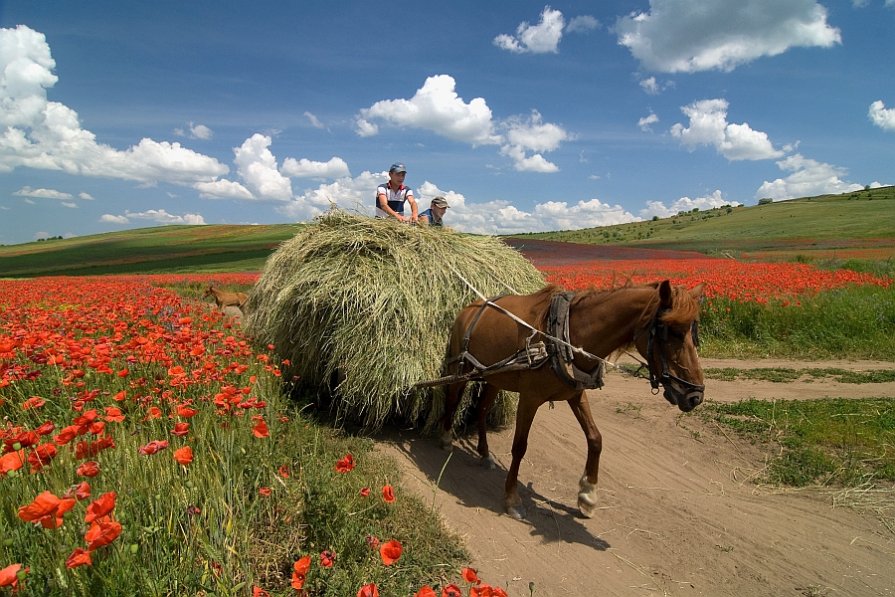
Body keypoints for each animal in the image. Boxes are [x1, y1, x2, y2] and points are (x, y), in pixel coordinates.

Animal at [440, 280, 708, 516]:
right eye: (670, 331)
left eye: (694, 332)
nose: (695, 396)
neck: (566, 337)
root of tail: (469, 307)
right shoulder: (529, 398)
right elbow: (519, 446)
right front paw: (512, 498)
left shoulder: (576, 395)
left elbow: (595, 439)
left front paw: (587, 494)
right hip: (461, 369)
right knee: (452, 399)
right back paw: (445, 438)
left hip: (495, 377)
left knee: (483, 409)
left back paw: (484, 453)